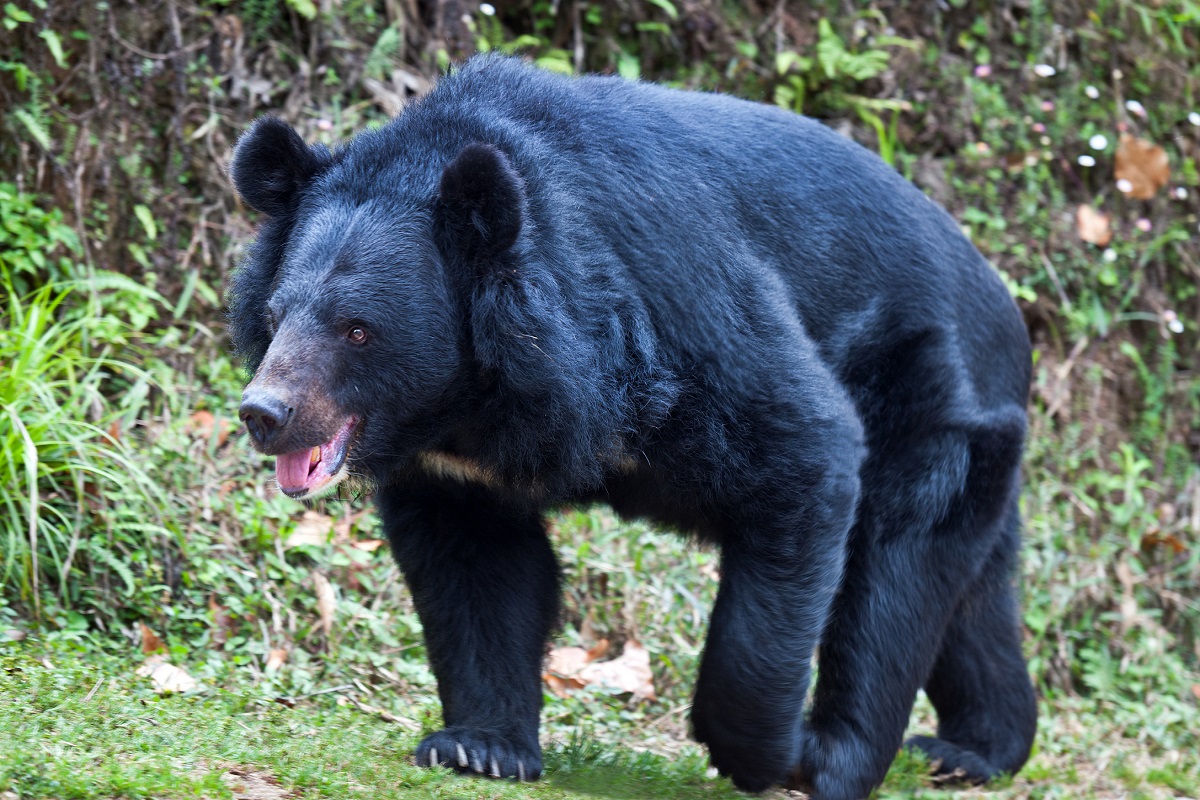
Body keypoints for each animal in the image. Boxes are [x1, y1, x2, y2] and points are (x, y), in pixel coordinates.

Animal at [229, 54, 1036, 800]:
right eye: (275, 315)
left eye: (358, 330)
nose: (265, 414)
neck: (468, 401)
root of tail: (1006, 308)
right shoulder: (454, 469)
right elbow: (476, 568)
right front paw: (479, 747)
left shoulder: (677, 315)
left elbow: (803, 448)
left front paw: (768, 755)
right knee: (971, 594)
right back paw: (974, 749)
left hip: (930, 402)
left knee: (894, 579)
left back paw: (837, 759)